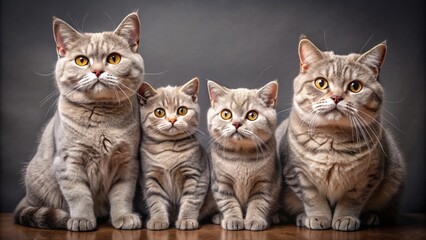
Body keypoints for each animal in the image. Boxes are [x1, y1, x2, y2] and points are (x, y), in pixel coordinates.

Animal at [14, 12, 145, 231]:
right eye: (81, 60)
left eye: (114, 58)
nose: (98, 71)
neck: (102, 122)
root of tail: (25, 199)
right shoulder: (69, 161)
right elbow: (79, 195)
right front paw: (82, 219)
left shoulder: (127, 162)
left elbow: (122, 194)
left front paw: (123, 217)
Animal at [138, 77, 210, 231]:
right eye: (159, 112)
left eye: (182, 110)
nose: (172, 120)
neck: (169, 149)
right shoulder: (150, 177)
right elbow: (155, 200)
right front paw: (158, 220)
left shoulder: (196, 175)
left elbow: (191, 200)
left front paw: (186, 220)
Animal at [207, 80, 282, 231]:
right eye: (226, 114)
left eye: (252, 115)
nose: (236, 123)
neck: (241, 156)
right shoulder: (221, 183)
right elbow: (228, 203)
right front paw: (233, 219)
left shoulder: (264, 183)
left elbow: (259, 203)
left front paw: (254, 220)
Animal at [276, 35, 406, 231]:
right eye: (321, 83)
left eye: (355, 86)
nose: (336, 97)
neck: (332, 138)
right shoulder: (297, 172)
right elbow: (312, 197)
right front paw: (318, 216)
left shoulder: (368, 176)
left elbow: (352, 199)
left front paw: (346, 217)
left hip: (394, 178)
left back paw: (370, 216)